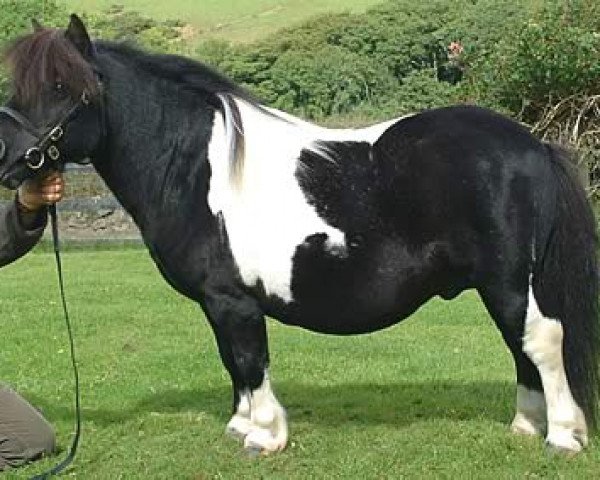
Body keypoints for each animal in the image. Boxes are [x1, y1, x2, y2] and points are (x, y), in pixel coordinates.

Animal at [0, 15, 596, 456]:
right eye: (16, 87)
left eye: (63, 88)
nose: (9, 160)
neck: (193, 166)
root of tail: (532, 144)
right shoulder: (220, 302)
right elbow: (233, 363)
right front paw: (243, 427)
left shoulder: (232, 299)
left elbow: (248, 360)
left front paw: (263, 436)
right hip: (500, 285)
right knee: (521, 345)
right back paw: (525, 428)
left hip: (509, 280)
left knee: (542, 340)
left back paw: (563, 438)